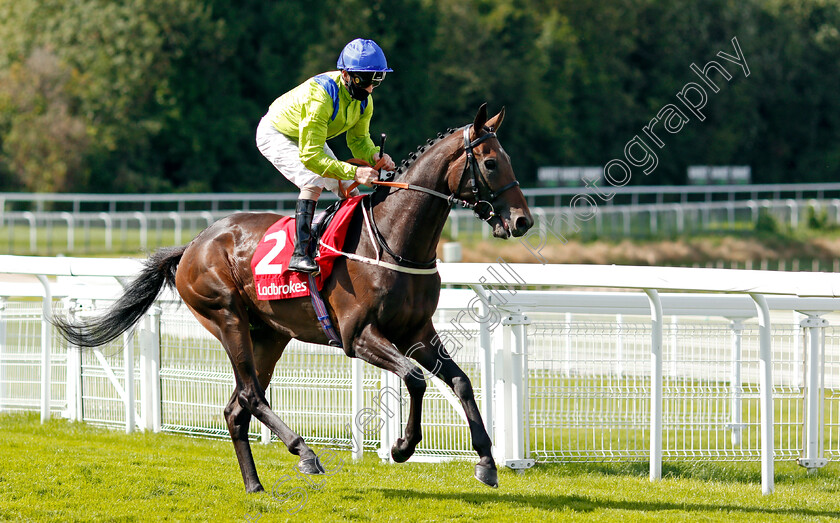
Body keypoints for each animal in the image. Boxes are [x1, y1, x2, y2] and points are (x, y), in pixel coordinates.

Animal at [54, 104, 532, 494]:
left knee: (235, 408)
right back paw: (305, 452)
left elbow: (460, 381)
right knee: (250, 396)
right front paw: (402, 446)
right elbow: (414, 378)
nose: (522, 221)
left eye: (508, 159)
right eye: (490, 162)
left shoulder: (417, 331)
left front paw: (486, 462)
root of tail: (192, 244)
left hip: (269, 335)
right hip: (227, 318)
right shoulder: (358, 336)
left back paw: (254, 485)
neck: (394, 243)